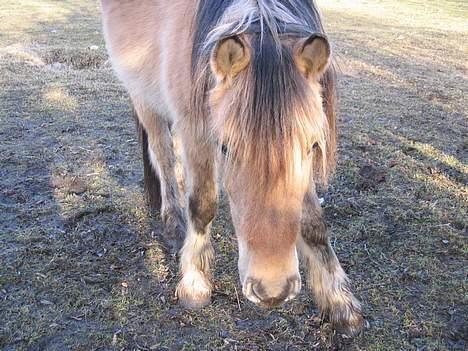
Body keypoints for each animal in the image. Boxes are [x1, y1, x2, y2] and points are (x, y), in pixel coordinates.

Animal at [101, 0, 366, 336]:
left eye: (311, 147)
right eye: (225, 147)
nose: (272, 291)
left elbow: (314, 224)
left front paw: (340, 303)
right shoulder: (197, 130)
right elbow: (202, 206)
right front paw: (195, 285)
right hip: (145, 100)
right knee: (163, 155)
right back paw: (174, 224)